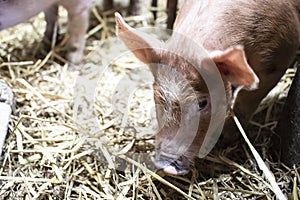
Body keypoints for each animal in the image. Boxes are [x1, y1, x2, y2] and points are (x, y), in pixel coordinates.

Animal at [115, 0, 300, 175]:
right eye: (158, 97)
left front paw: (226, 137)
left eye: (202, 103)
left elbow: (247, 98)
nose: (165, 165)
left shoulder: (280, 54)